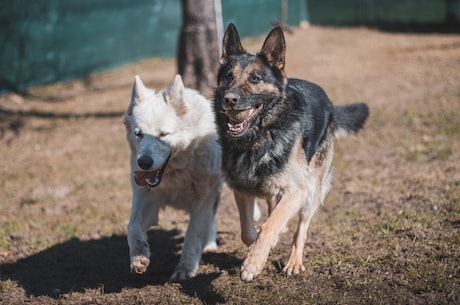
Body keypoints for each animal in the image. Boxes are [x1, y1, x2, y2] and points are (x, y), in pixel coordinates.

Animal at [122, 73, 223, 280]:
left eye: (162, 134)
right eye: (138, 134)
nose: (144, 162)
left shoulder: (202, 201)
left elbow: (192, 236)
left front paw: (185, 269)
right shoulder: (145, 198)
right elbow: (133, 226)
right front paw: (139, 257)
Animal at [214, 23, 368, 280]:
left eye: (255, 78)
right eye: (228, 76)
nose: (229, 99)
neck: (258, 137)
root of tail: (329, 102)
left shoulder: (297, 190)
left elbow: (271, 225)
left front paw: (253, 263)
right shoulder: (241, 189)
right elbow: (248, 232)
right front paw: (257, 247)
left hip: (312, 191)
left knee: (301, 229)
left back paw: (294, 262)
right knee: (273, 207)